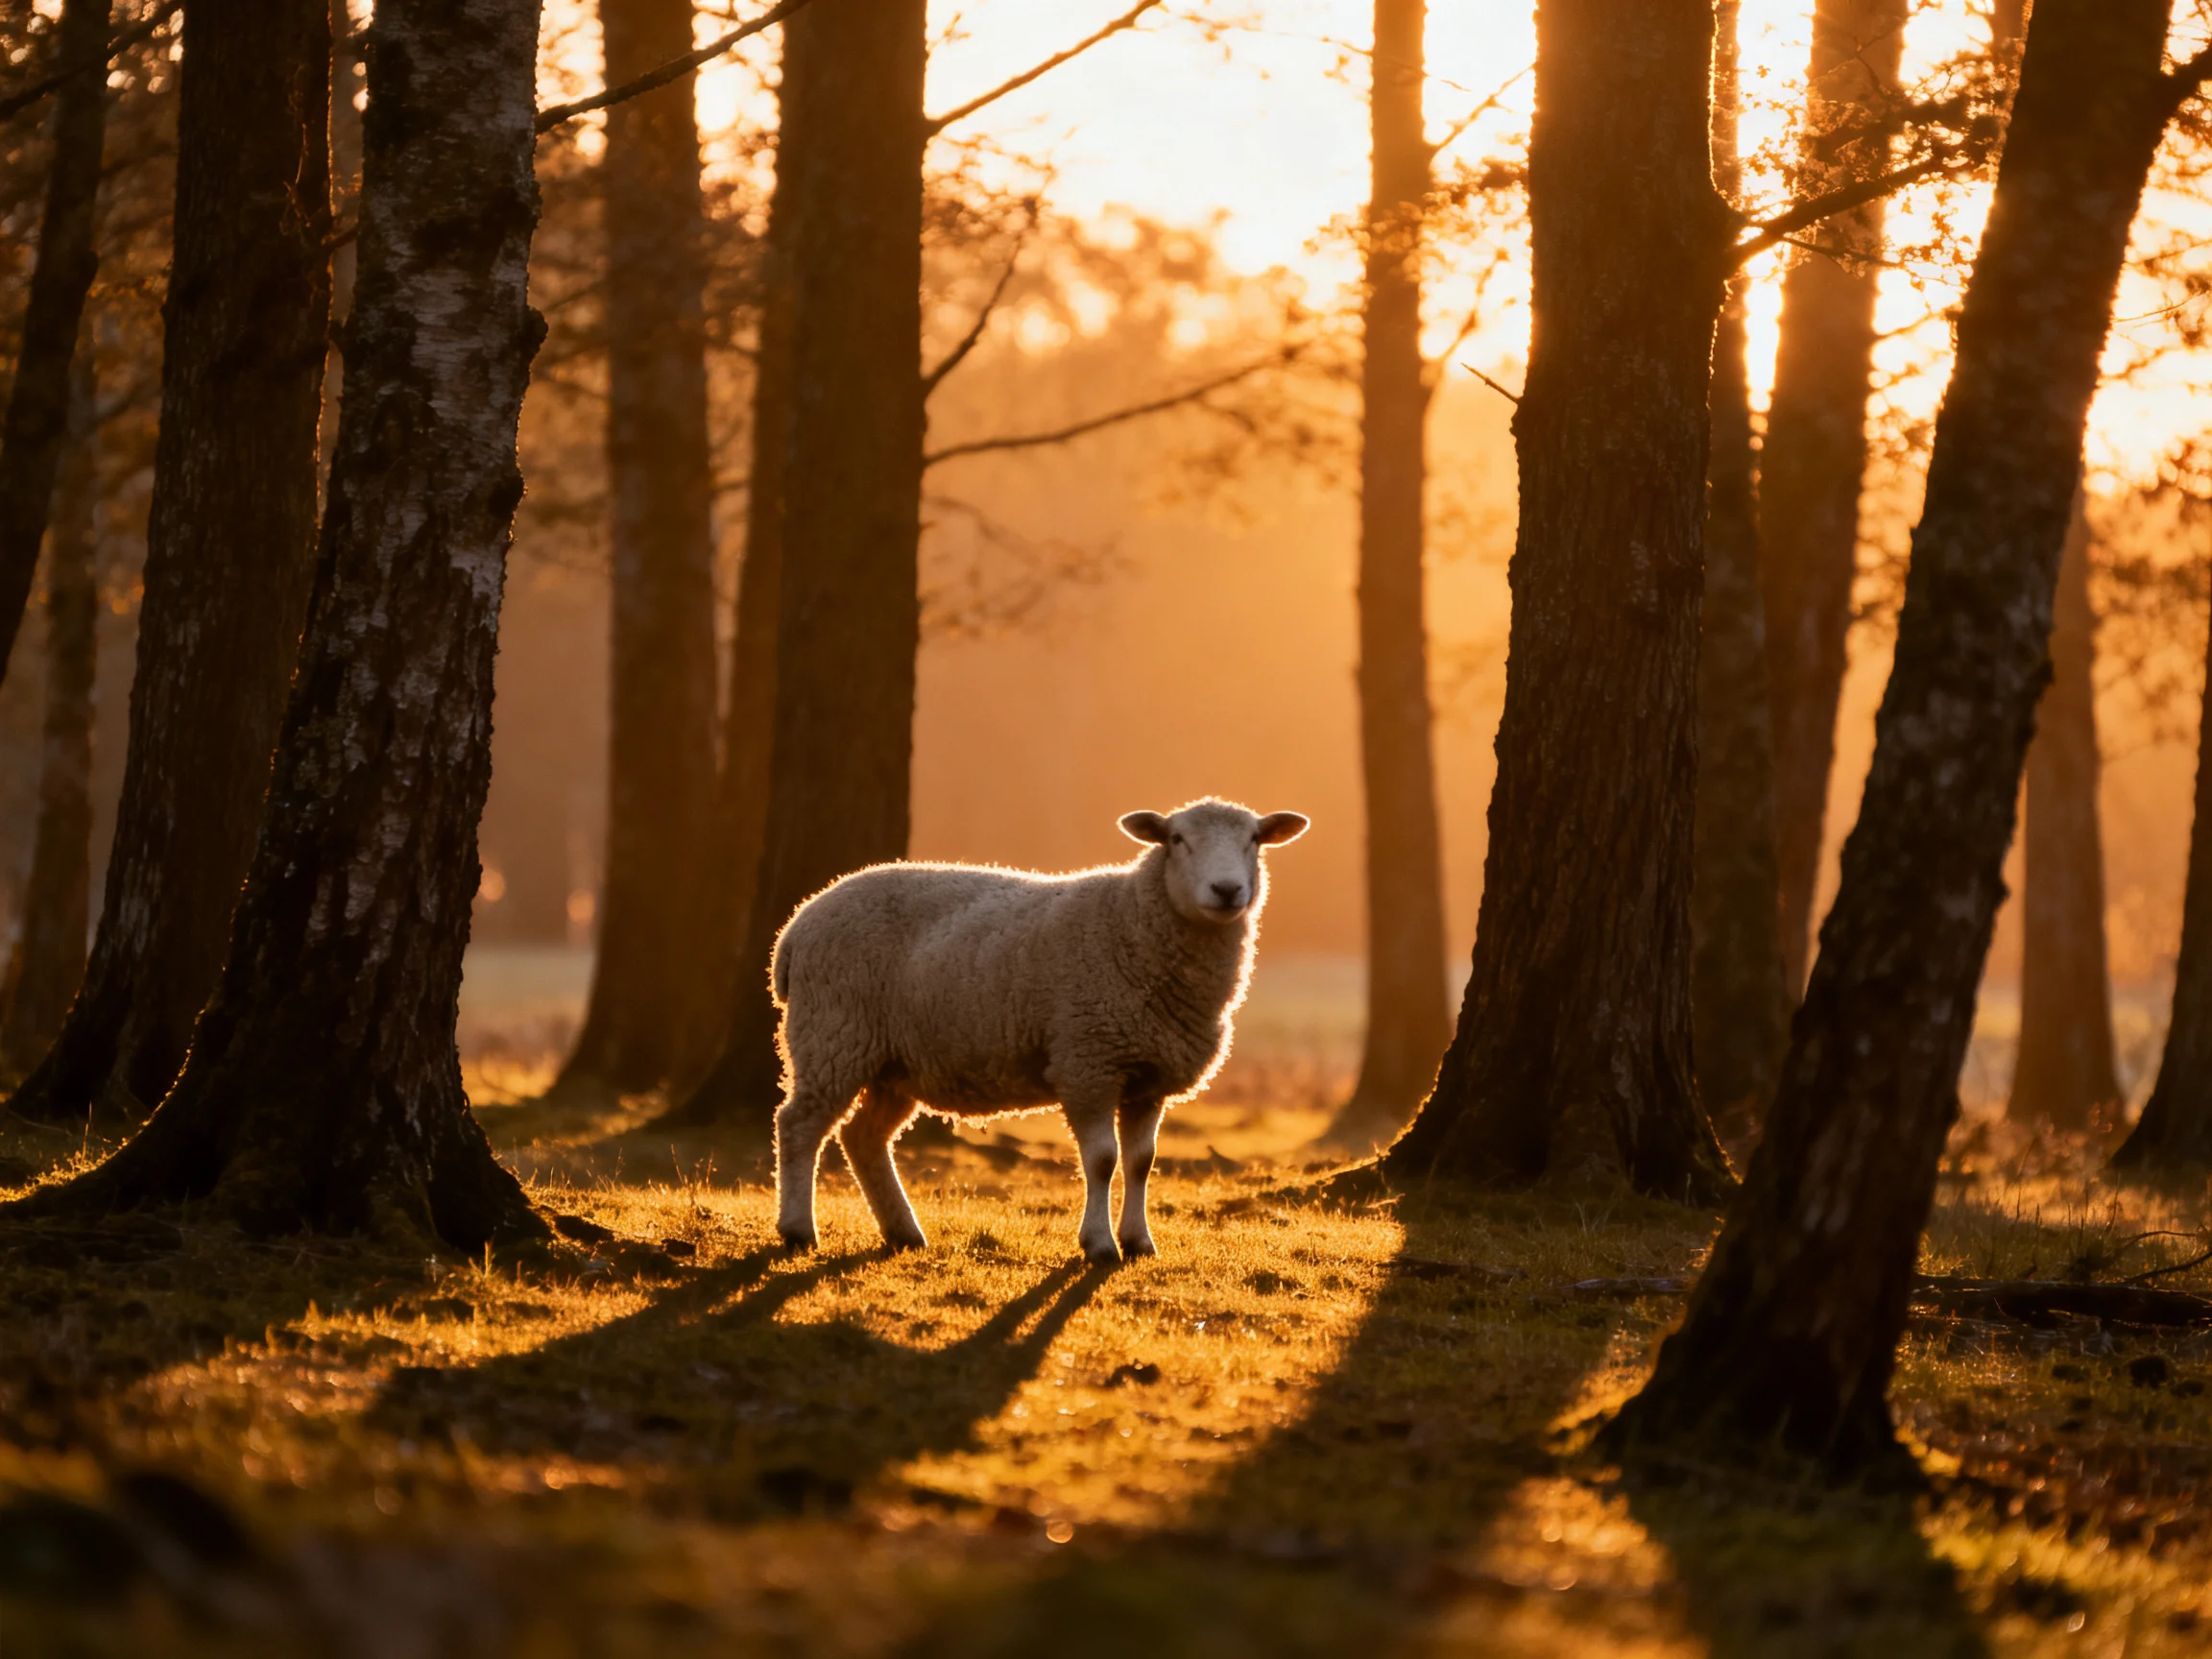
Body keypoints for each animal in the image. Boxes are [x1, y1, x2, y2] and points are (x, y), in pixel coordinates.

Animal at [770, 798, 1310, 1263]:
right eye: (1177, 839)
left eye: (1255, 839)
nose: (1227, 890)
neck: (1132, 922)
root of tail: (797, 925)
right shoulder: (1088, 1063)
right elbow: (1102, 1160)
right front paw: (1099, 1245)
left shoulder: (1146, 1077)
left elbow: (1142, 1161)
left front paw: (1139, 1242)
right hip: (833, 1033)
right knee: (799, 1125)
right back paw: (799, 1230)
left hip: (892, 1061)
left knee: (863, 1137)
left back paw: (903, 1232)